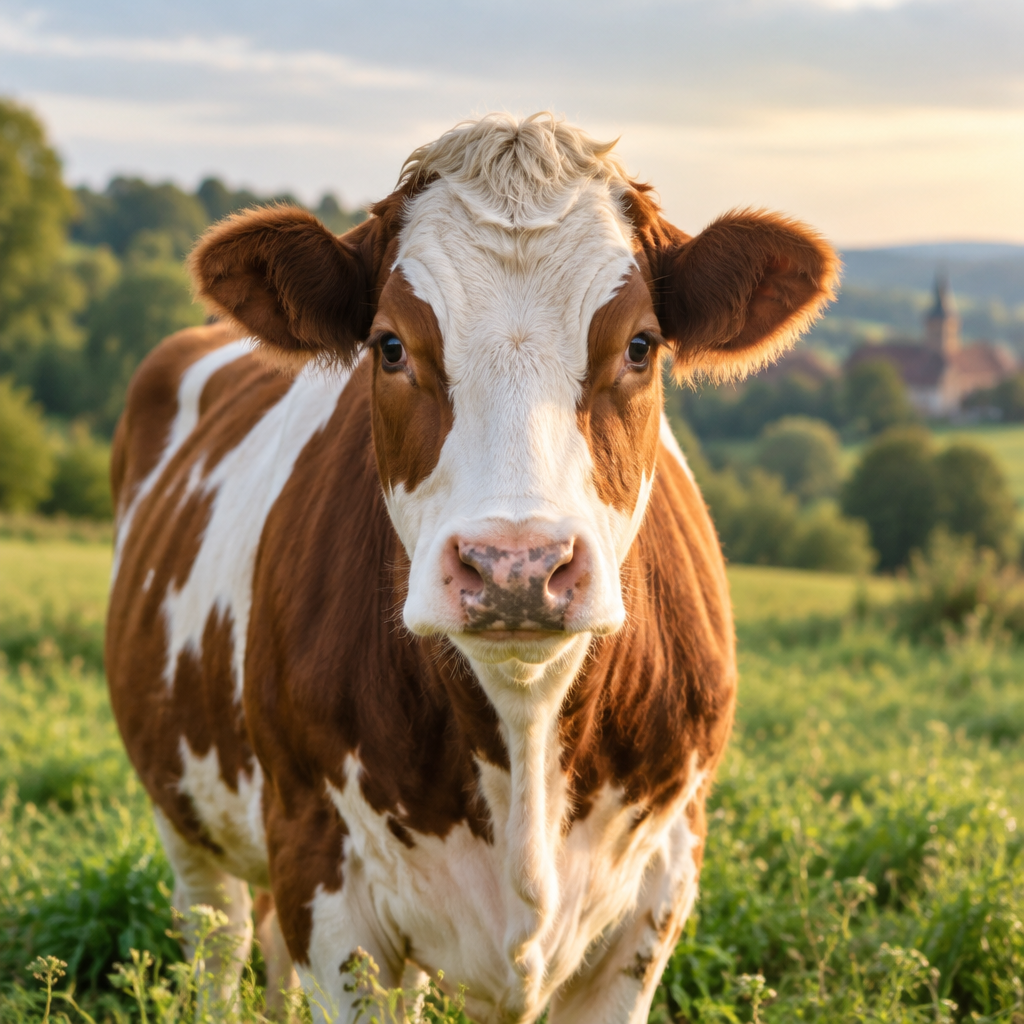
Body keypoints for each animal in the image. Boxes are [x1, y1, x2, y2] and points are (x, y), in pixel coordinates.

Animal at [106, 113, 837, 1024]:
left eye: (639, 345)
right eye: (389, 346)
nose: (516, 565)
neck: (523, 724)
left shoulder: (658, 890)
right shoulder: (325, 880)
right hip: (187, 814)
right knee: (220, 936)